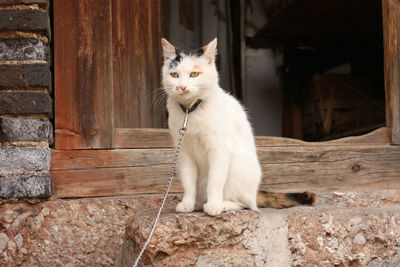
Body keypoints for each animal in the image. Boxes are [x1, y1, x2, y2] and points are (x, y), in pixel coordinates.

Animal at [161, 38, 314, 218]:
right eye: (174, 75)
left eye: (194, 74)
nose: (182, 87)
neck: (189, 111)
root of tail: (254, 193)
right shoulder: (184, 153)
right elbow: (188, 181)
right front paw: (187, 203)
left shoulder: (219, 150)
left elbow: (215, 181)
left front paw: (214, 205)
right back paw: (198, 203)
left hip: (238, 164)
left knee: (246, 204)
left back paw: (223, 204)